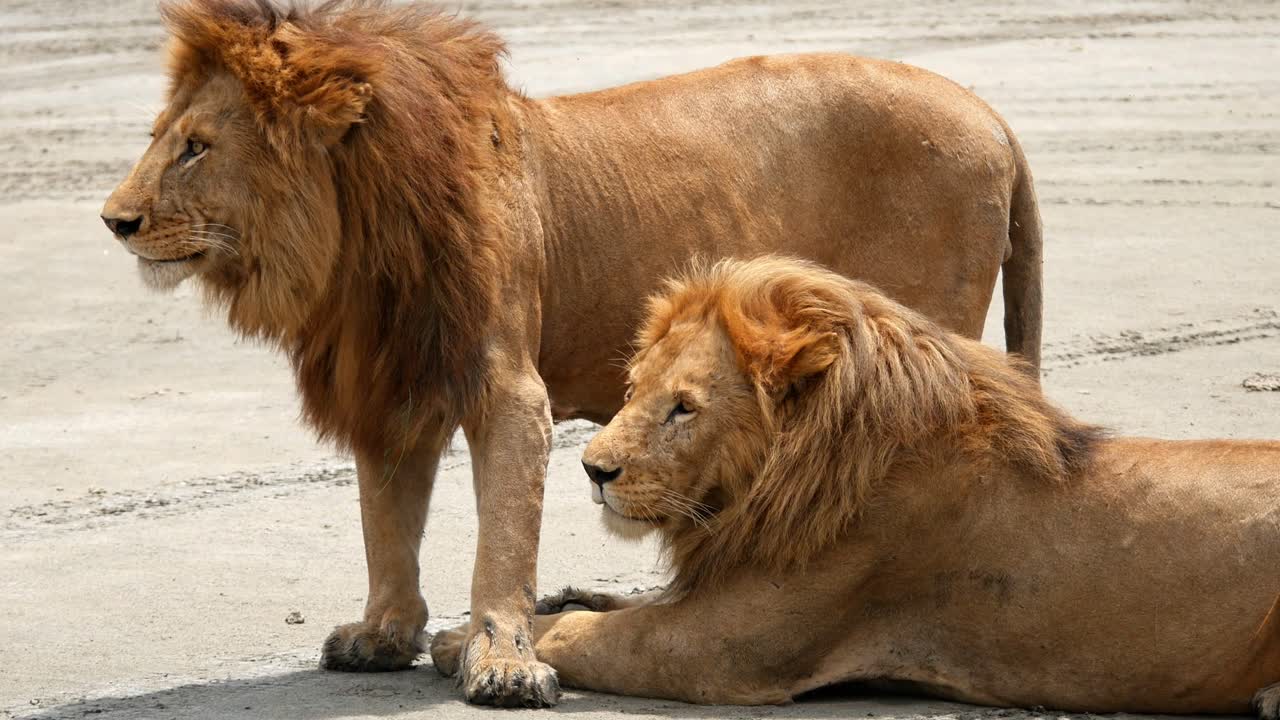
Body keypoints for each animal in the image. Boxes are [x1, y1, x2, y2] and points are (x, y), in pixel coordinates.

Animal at [101, 0, 1044, 706]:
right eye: (162, 136)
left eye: (196, 146)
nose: (114, 220)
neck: (355, 238)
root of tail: (996, 117)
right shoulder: (396, 383)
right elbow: (385, 517)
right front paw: (385, 633)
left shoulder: (507, 384)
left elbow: (502, 535)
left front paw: (500, 662)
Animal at [434, 256, 1280, 715]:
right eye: (635, 389)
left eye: (683, 408)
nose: (592, 470)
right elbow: (606, 605)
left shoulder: (721, 648)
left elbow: (594, 633)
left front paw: (463, 643)